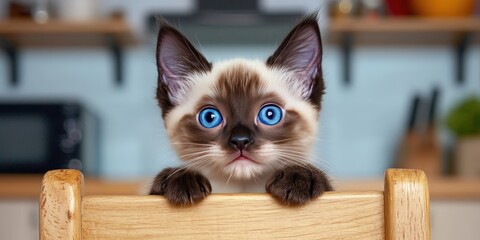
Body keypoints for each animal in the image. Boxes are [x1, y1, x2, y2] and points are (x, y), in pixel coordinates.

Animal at [148, 15, 332, 206]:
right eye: (210, 117)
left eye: (270, 115)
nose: (241, 141)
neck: (242, 190)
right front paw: (180, 178)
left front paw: (298, 176)